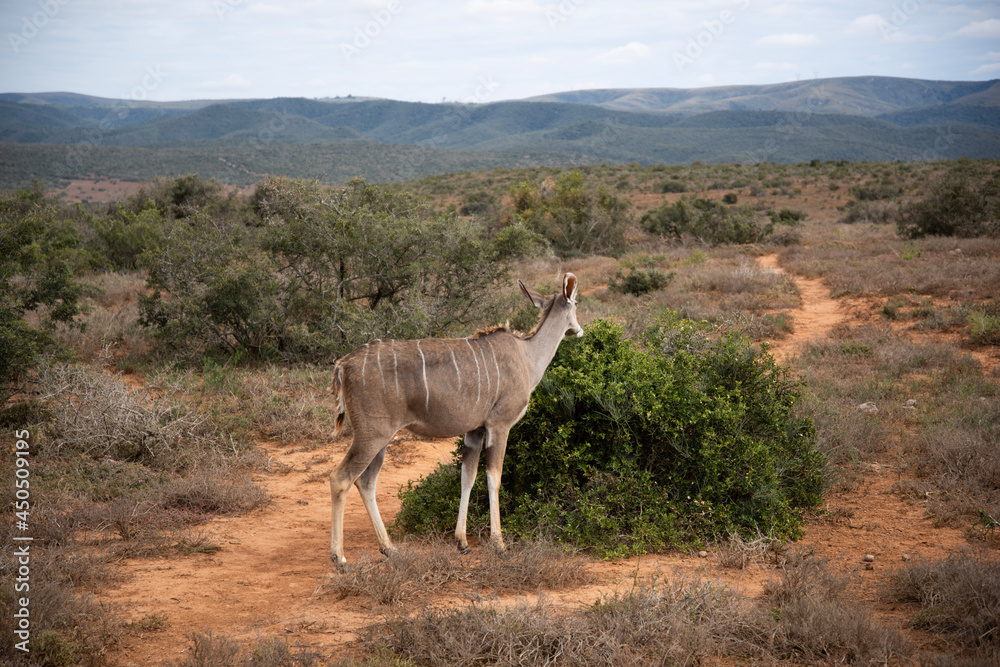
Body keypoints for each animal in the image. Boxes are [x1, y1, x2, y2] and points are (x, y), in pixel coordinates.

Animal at [328, 273, 582, 570]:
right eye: (576, 303)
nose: (579, 331)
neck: (527, 355)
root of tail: (343, 365)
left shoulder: (475, 431)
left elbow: (467, 477)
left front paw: (462, 542)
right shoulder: (499, 426)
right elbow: (494, 478)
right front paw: (499, 545)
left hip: (380, 439)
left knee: (366, 481)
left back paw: (389, 548)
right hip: (371, 435)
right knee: (341, 478)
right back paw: (340, 558)